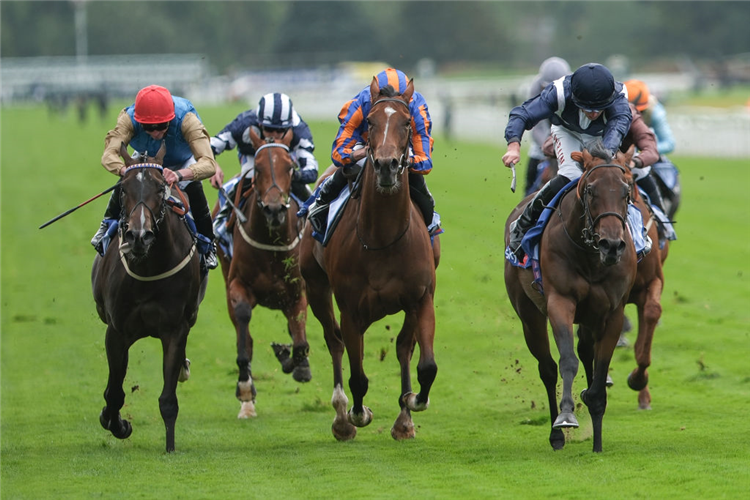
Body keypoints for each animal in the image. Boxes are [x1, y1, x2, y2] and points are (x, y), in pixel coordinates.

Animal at [92, 146, 207, 454]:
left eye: (159, 187)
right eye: (123, 189)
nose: (139, 236)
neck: (148, 268)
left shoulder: (175, 329)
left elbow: (168, 400)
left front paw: (170, 447)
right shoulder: (117, 331)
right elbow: (114, 392)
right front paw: (117, 424)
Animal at [214, 128, 312, 418]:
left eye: (290, 167)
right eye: (257, 168)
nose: (274, 209)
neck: (272, 243)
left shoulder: (297, 291)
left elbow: (300, 342)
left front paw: (295, 362)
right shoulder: (237, 286)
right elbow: (244, 334)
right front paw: (245, 389)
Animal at [300, 76, 440, 440]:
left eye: (407, 124)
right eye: (370, 123)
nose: (387, 165)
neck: (383, 240)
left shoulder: (422, 297)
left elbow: (426, 365)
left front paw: (411, 403)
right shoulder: (350, 308)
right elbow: (358, 374)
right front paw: (357, 413)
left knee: (403, 347)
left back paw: (403, 418)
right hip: (316, 287)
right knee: (335, 341)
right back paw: (341, 417)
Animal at [506, 143, 640, 452]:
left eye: (626, 190)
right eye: (590, 190)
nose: (612, 245)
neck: (591, 257)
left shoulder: (612, 313)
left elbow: (600, 370)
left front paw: (598, 436)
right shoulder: (560, 302)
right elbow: (567, 360)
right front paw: (566, 415)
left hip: (590, 318)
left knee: (586, 352)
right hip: (528, 314)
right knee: (547, 368)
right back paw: (556, 435)